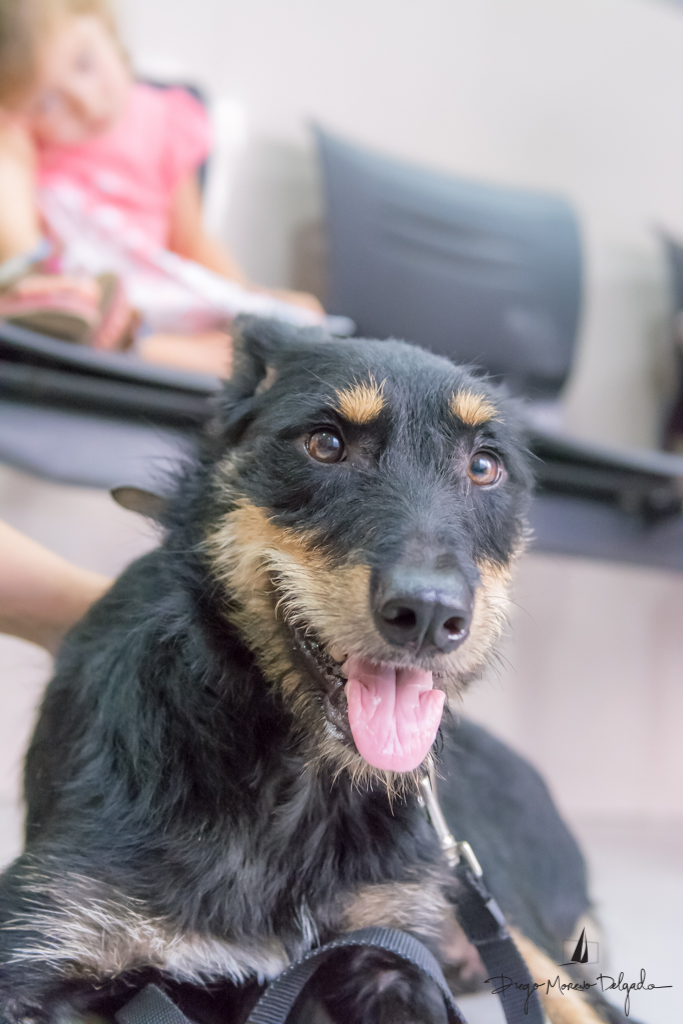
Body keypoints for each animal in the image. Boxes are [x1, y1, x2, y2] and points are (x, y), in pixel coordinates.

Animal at [0, 318, 630, 1024]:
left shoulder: (393, 947)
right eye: (325, 444)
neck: (291, 787)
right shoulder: (47, 935)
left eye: (485, 465)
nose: (429, 614)